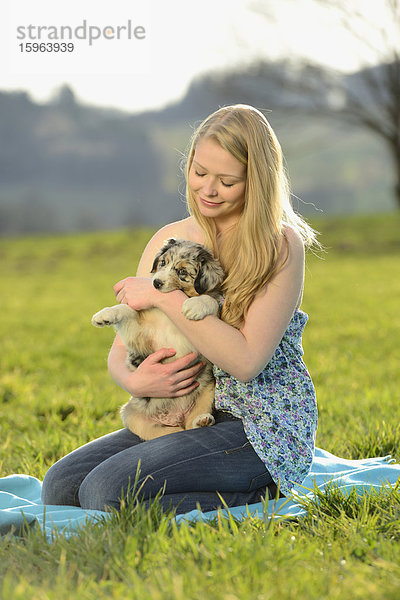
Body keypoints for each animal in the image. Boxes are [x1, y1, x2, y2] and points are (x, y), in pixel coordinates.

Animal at [92, 239, 227, 440]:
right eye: (163, 263)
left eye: (182, 272)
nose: (156, 283)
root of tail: (176, 417)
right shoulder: (141, 336)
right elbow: (126, 309)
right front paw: (104, 315)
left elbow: (210, 300)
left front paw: (194, 306)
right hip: (131, 415)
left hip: (209, 390)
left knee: (192, 425)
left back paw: (202, 420)